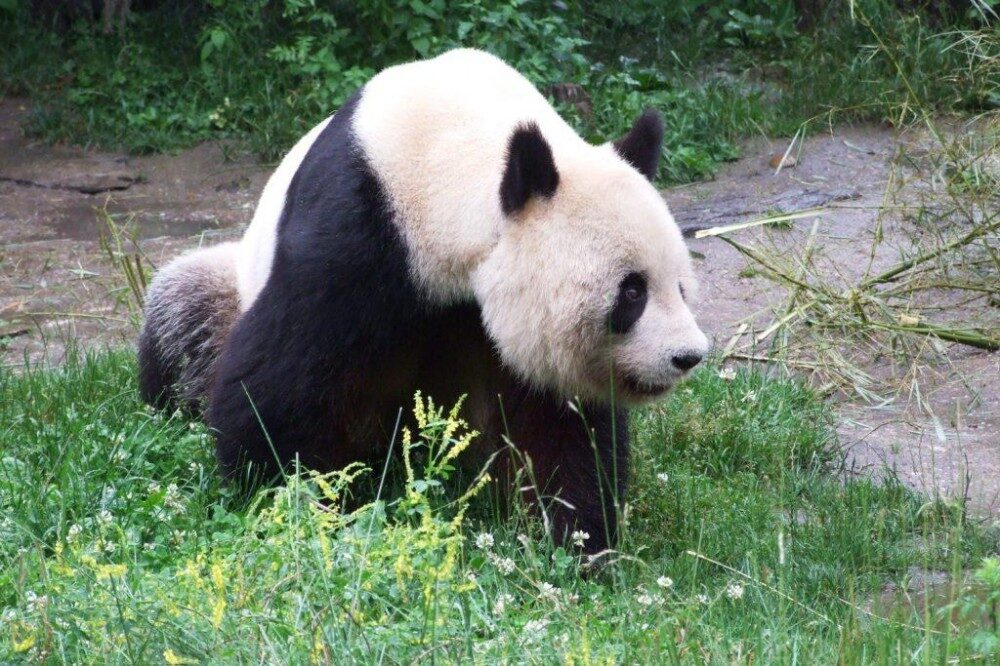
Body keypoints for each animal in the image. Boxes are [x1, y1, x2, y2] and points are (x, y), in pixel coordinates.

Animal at [138, 48, 709, 555]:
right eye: (631, 291)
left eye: (681, 287)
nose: (687, 356)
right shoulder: (360, 230)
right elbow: (282, 380)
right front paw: (288, 499)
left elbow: (556, 425)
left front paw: (577, 542)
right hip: (225, 285)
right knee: (182, 317)